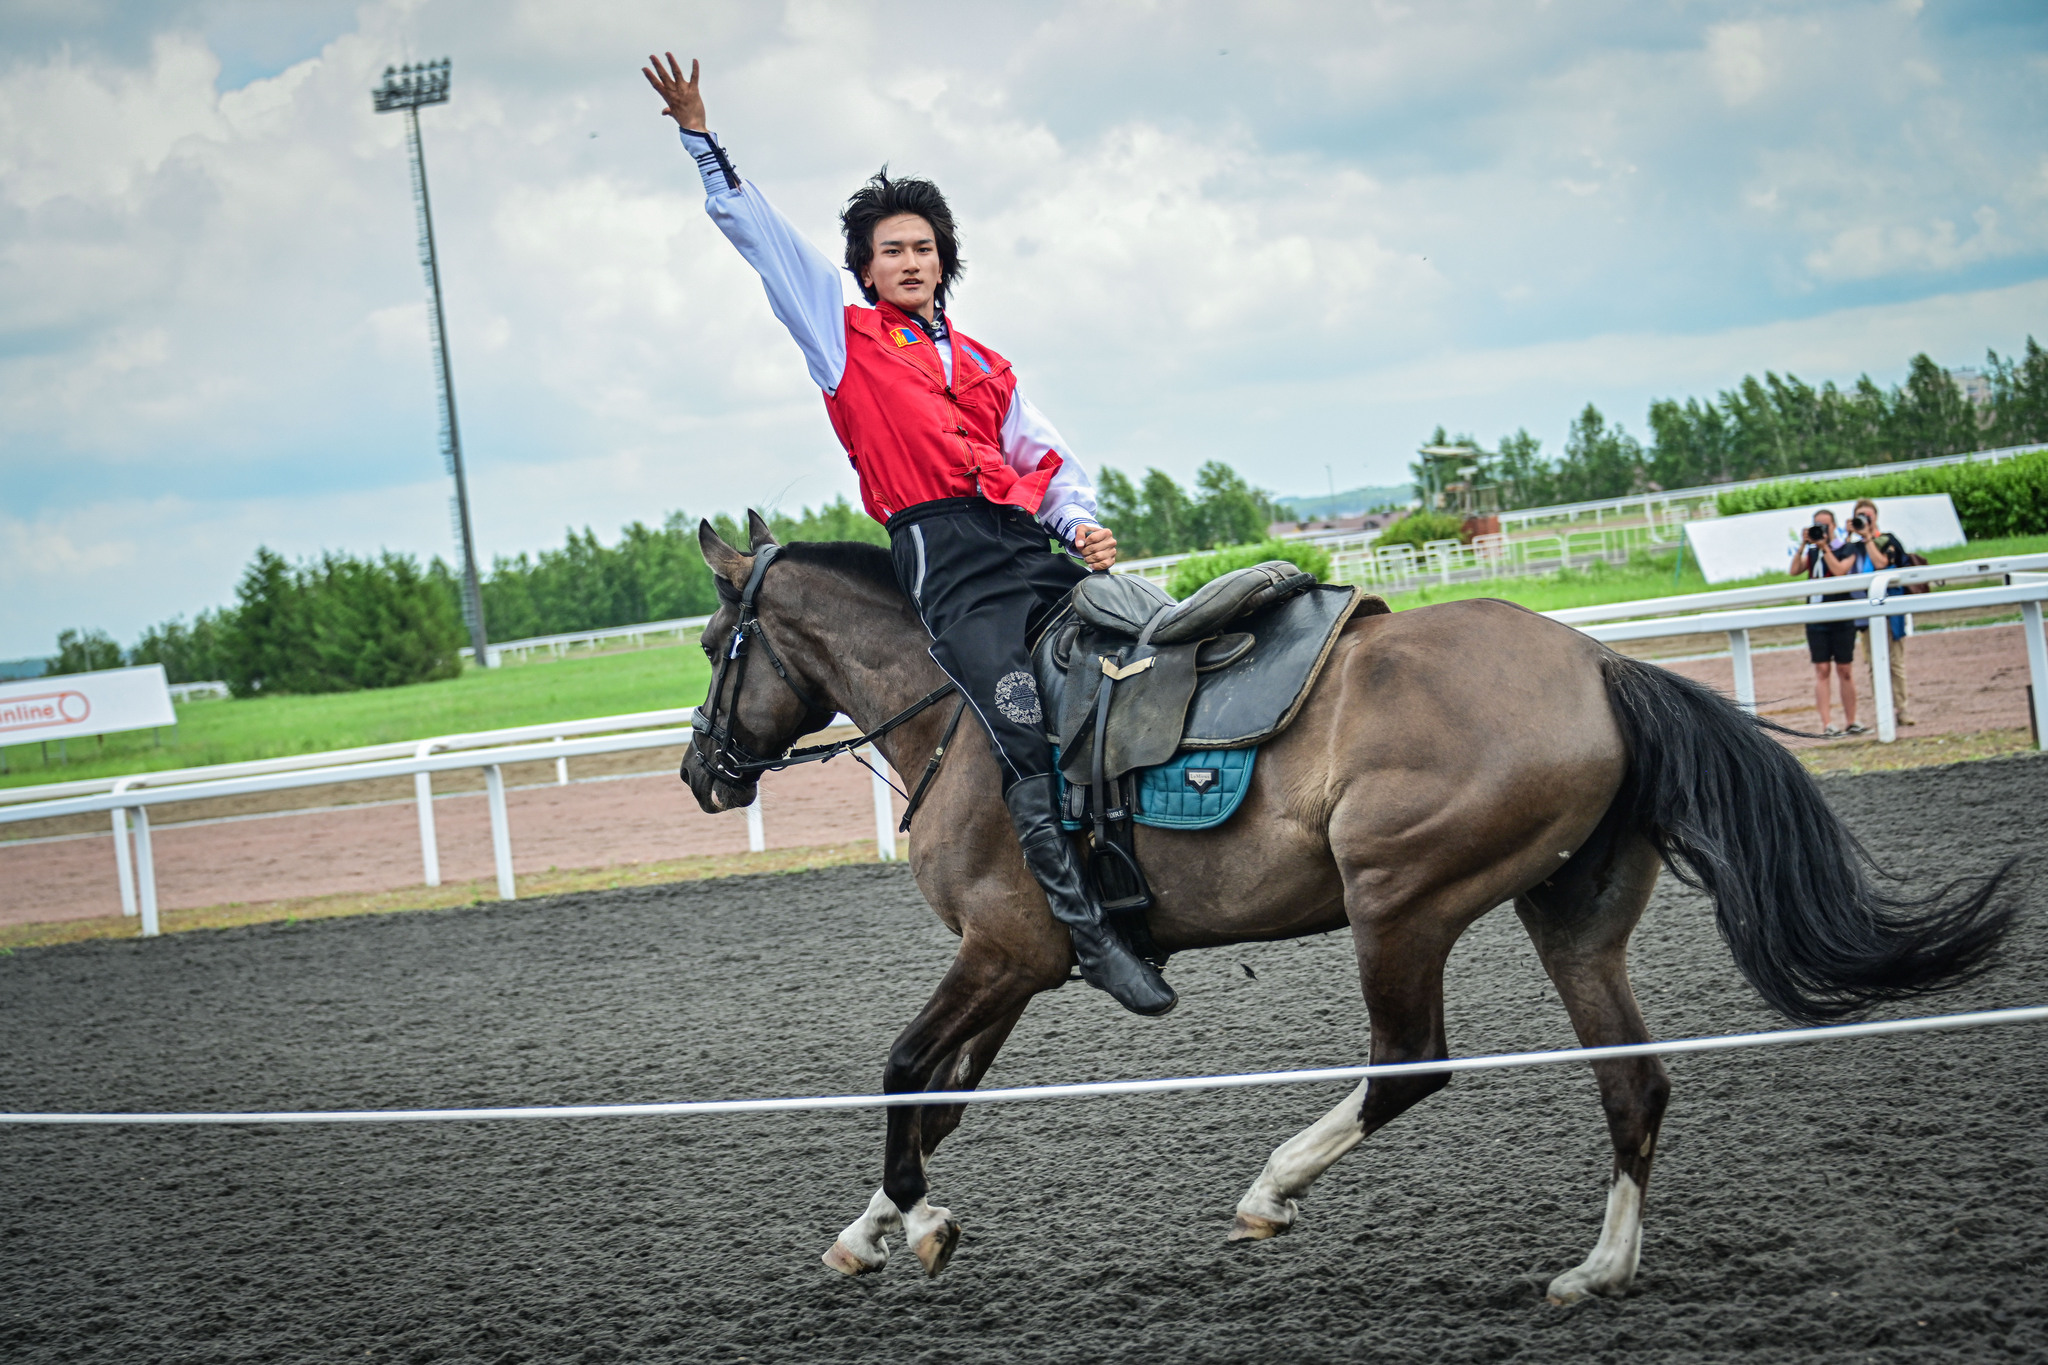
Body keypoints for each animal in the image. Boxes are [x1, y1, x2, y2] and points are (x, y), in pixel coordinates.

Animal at [675, 517, 2015, 1309]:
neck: (962, 711)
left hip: (1396, 903)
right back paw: (1598, 1267)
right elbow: (941, 1098)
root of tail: (1596, 664)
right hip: (1569, 919)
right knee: (1630, 1083)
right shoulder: (1017, 961)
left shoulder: (1004, 951)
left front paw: (915, 1222)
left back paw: (1272, 1188)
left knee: (1408, 1063)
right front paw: (876, 1225)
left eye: (708, 645)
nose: (699, 773)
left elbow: (904, 1071)